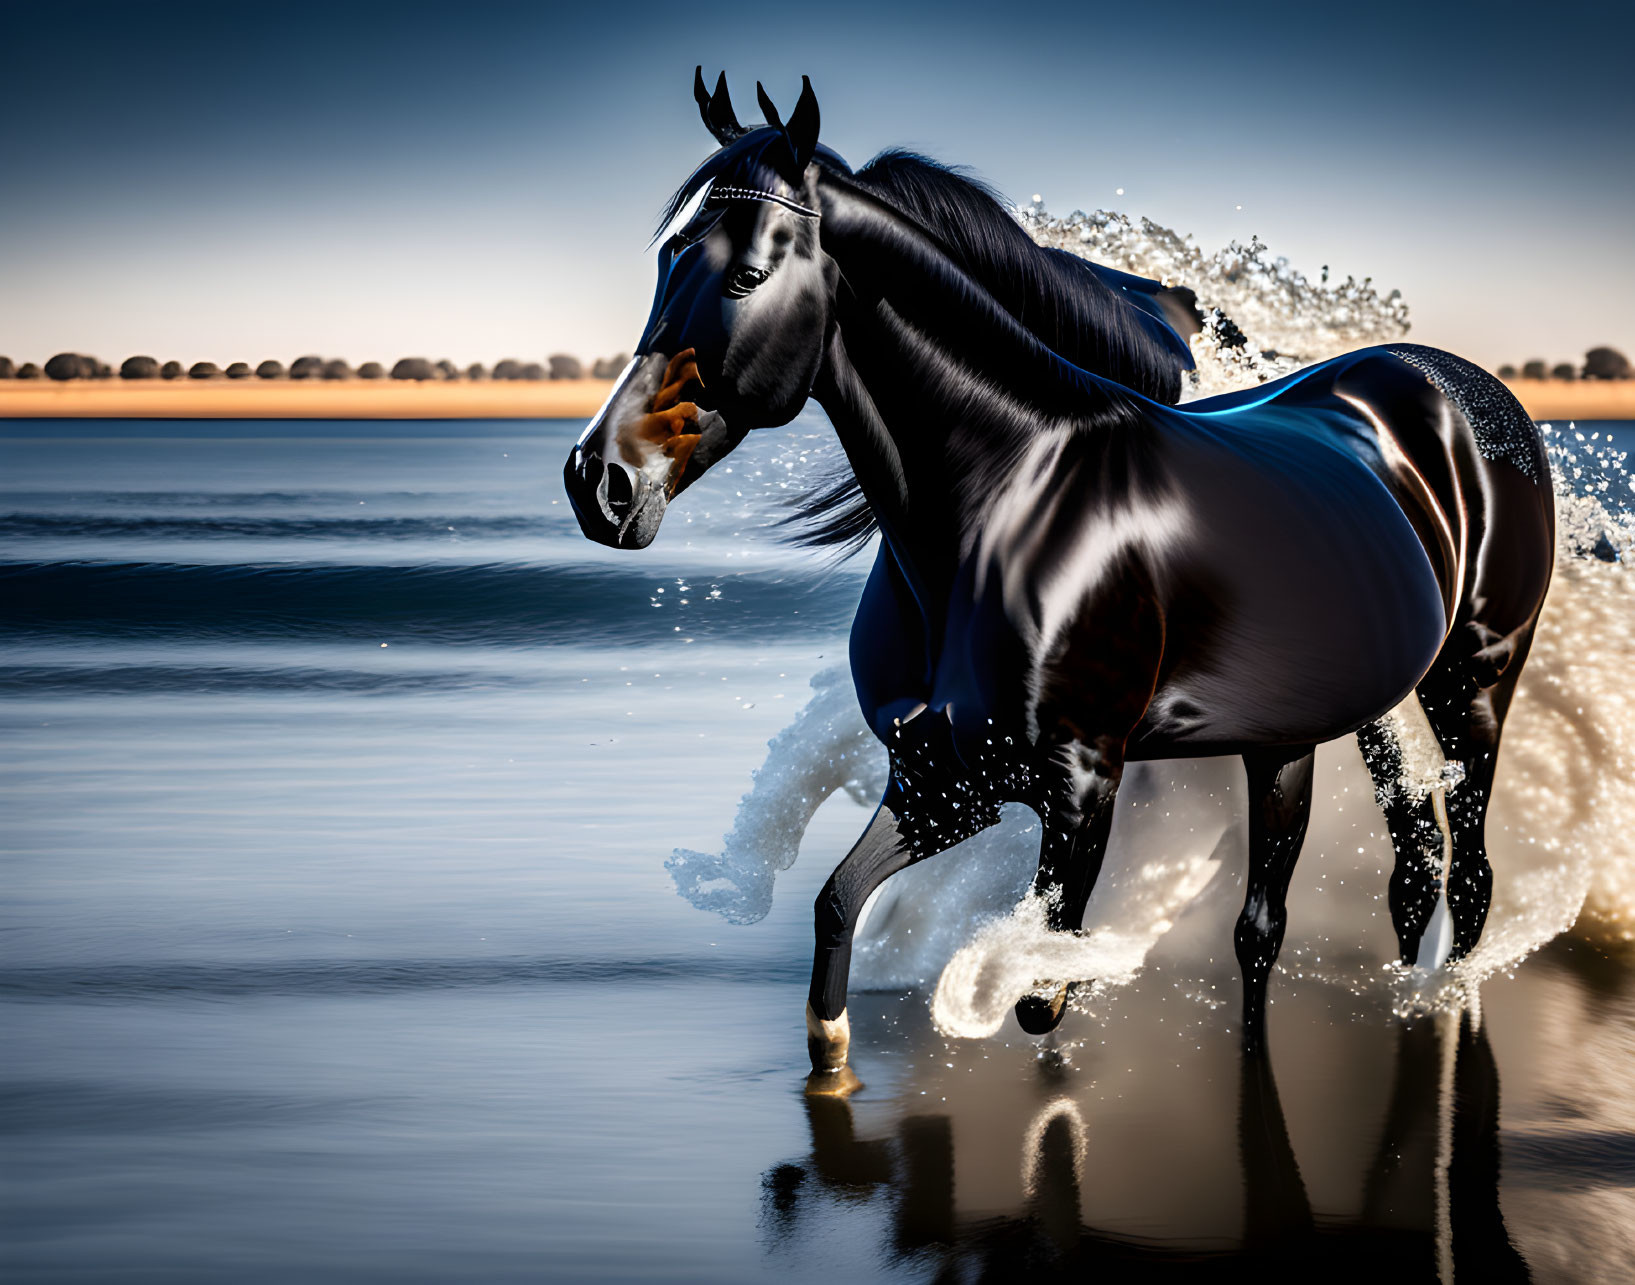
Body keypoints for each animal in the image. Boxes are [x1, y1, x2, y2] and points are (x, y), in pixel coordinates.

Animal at [565, 75, 1556, 1079]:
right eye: (666, 260)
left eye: (745, 277)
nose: (598, 482)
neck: (1008, 497)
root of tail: (1457, 385)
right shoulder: (938, 781)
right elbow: (837, 909)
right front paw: (836, 1059)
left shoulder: (1079, 792)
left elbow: (1038, 993)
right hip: (1317, 727)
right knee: (1329, 896)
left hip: (1472, 681)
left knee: (1464, 873)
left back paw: (1439, 1007)